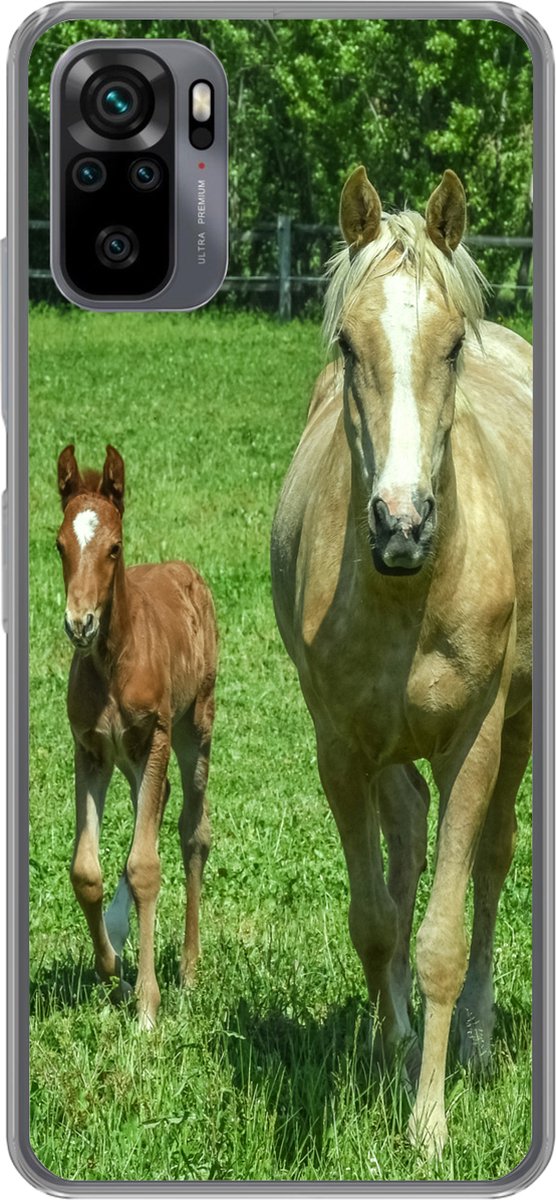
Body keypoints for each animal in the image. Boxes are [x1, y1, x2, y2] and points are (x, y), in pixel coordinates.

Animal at [56, 444, 218, 1029]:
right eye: (59, 544)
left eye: (114, 547)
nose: (79, 623)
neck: (113, 659)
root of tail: (186, 570)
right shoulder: (90, 748)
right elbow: (87, 870)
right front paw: (115, 975)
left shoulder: (156, 738)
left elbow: (146, 865)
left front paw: (148, 1003)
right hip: (129, 757)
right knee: (155, 802)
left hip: (193, 728)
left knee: (192, 829)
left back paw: (190, 971)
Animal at [271, 167, 532, 1154]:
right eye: (349, 344)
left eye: (451, 346)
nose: (402, 523)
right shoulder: (341, 750)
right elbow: (378, 921)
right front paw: (392, 1060)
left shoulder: (473, 742)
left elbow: (443, 939)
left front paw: (428, 1122)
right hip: (385, 749)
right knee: (407, 843)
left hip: (516, 728)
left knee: (491, 863)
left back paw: (479, 1046)